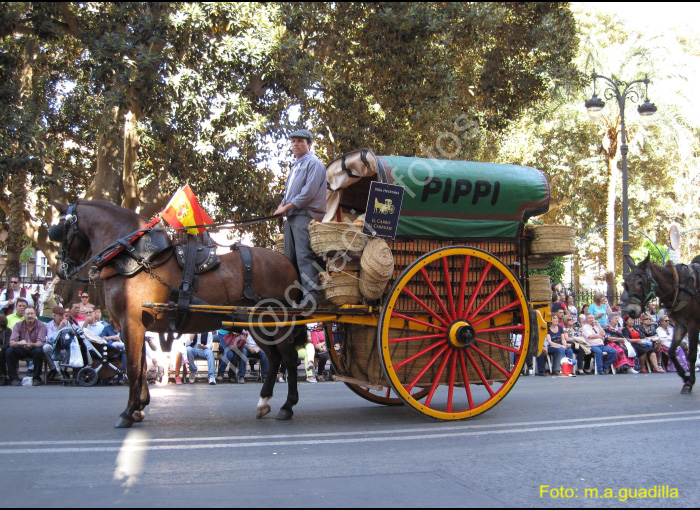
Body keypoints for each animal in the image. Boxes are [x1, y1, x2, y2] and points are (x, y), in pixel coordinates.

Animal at [50, 199, 308, 426]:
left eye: (57, 229)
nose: (60, 269)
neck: (135, 259)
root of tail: (287, 262)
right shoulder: (137, 326)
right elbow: (141, 366)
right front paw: (139, 407)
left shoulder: (130, 323)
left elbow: (133, 367)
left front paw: (128, 412)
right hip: (258, 324)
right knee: (274, 358)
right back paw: (264, 402)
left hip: (277, 323)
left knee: (288, 358)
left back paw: (287, 406)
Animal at [624, 255, 700, 394]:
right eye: (626, 283)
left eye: (640, 282)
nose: (631, 311)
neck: (678, 286)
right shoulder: (681, 325)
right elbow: (671, 352)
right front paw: (685, 377)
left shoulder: (693, 325)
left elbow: (692, 355)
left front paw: (689, 382)